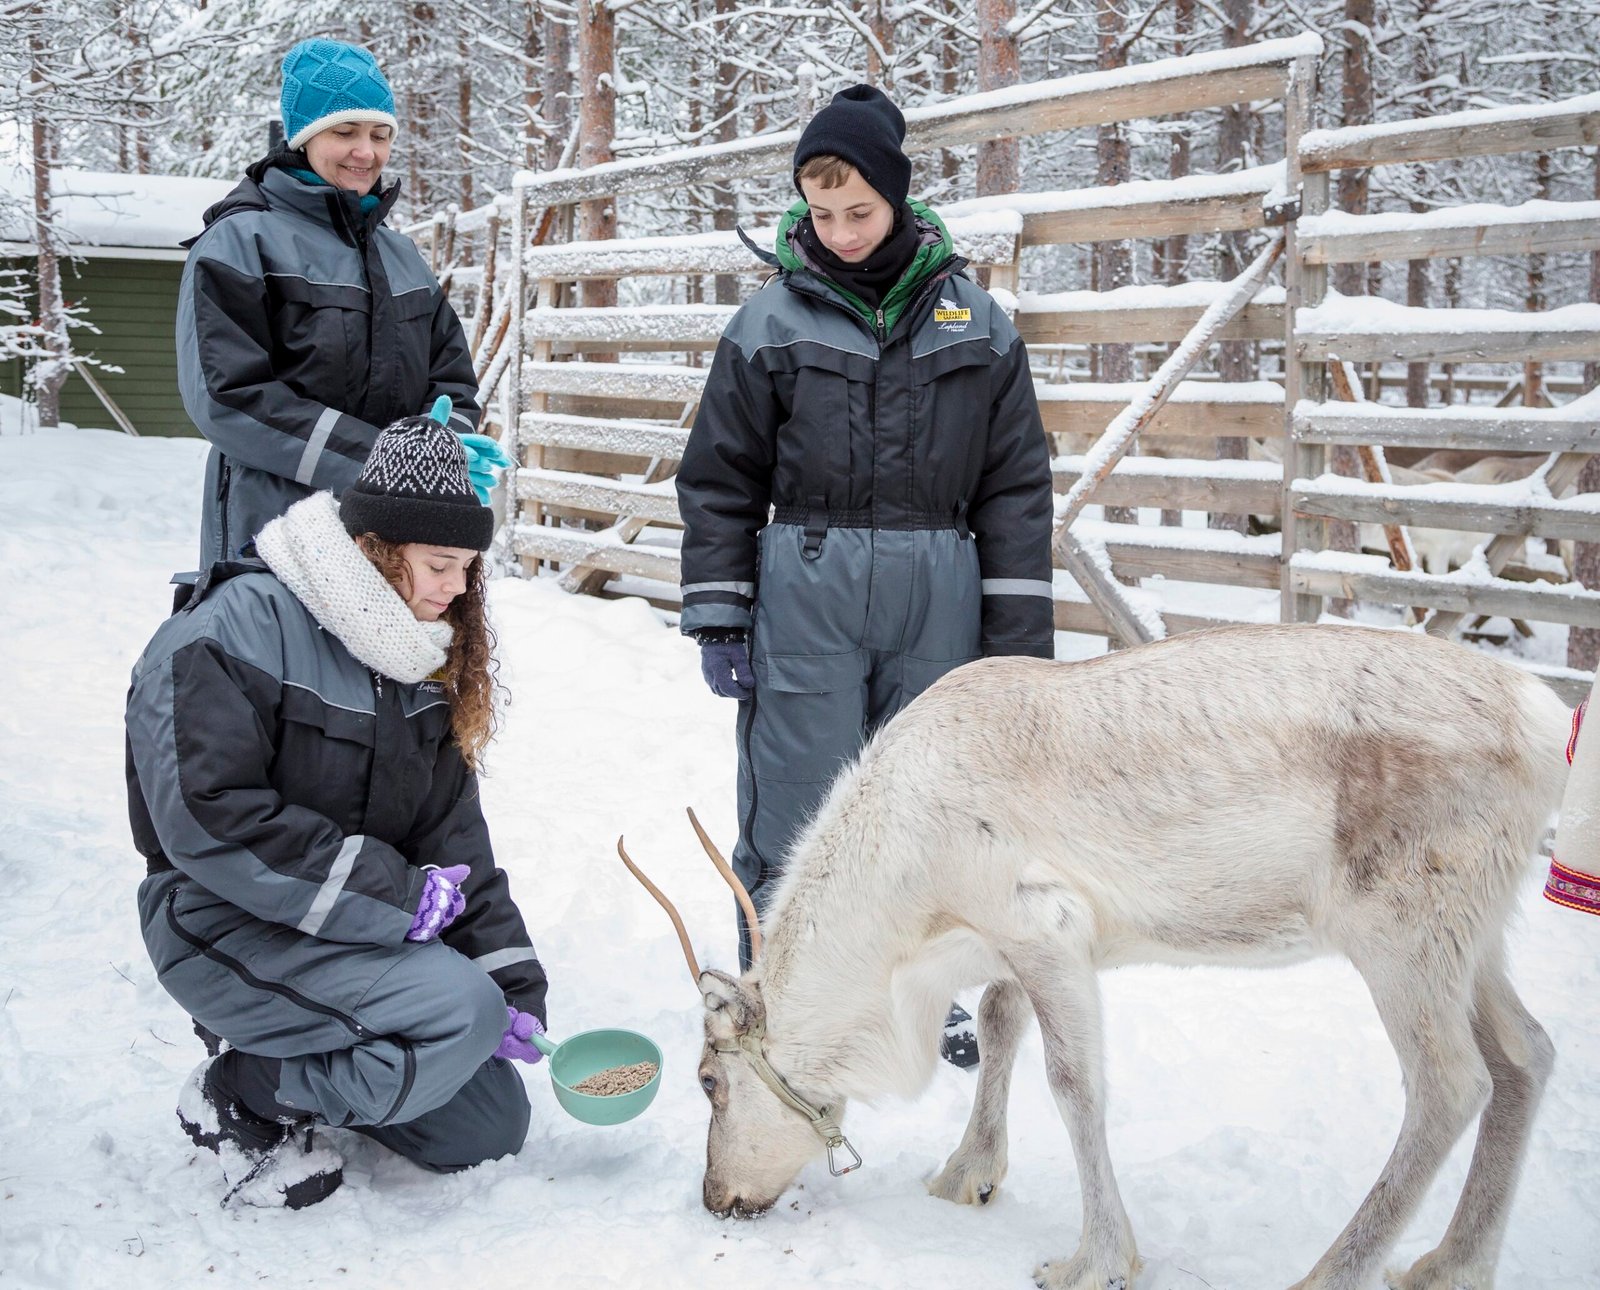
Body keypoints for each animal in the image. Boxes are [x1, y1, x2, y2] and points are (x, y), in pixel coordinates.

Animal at [623, 622, 1570, 1290]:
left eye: (707, 1081)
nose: (717, 1198)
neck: (906, 946)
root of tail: (1550, 720)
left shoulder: (1047, 925)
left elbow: (1075, 1085)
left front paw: (1094, 1260)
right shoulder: (1008, 940)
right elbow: (998, 1023)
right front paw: (968, 1173)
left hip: (1403, 925)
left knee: (1452, 1084)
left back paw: (1330, 1275)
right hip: (1476, 932)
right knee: (1526, 1053)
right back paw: (1450, 1264)